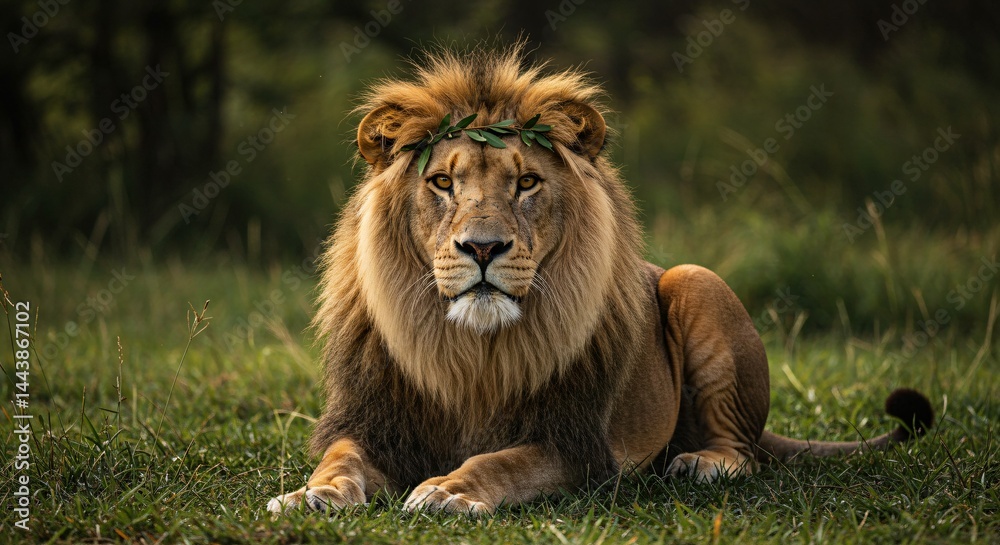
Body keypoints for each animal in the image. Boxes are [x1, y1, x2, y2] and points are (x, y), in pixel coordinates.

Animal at [267, 45, 933, 515]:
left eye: (526, 183)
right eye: (442, 183)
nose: (482, 247)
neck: (472, 352)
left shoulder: (575, 443)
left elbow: (501, 462)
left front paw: (450, 490)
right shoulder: (375, 424)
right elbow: (339, 460)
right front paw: (311, 496)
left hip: (696, 280)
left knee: (743, 449)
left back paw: (701, 464)